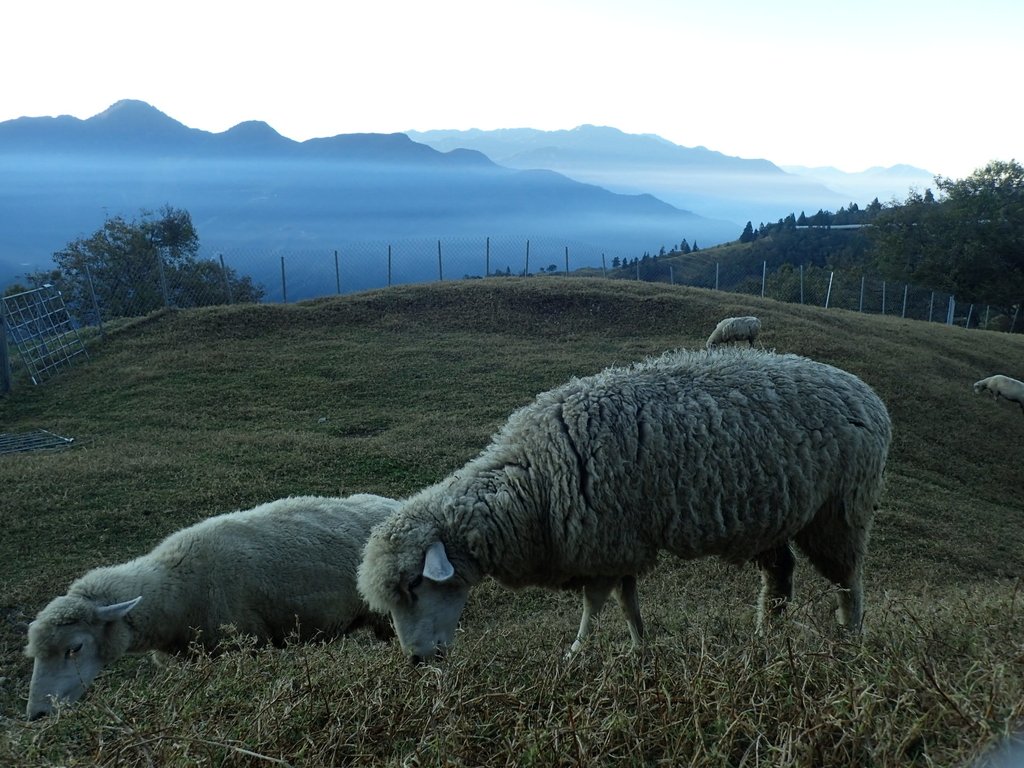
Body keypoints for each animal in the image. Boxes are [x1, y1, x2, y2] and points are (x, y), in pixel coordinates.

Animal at [358, 348, 888, 663]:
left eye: (414, 585)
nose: (416, 661)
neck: (532, 480)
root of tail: (867, 394)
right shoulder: (617, 542)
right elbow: (626, 601)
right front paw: (639, 647)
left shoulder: (603, 539)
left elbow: (596, 603)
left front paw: (576, 652)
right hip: (772, 517)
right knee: (780, 575)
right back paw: (767, 636)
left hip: (839, 511)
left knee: (849, 579)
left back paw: (851, 639)